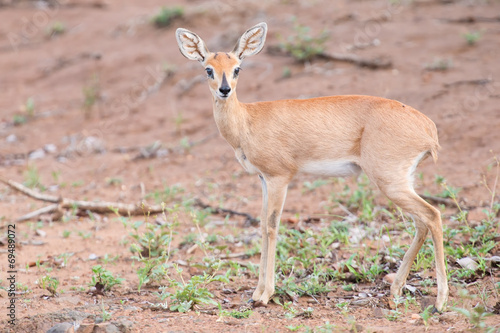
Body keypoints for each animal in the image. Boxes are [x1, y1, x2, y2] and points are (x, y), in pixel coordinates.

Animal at [176, 23, 450, 312]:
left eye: (237, 68)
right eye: (208, 68)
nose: (225, 89)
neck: (248, 121)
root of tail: (428, 127)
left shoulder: (279, 177)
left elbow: (271, 226)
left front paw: (264, 294)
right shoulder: (263, 179)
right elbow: (262, 224)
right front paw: (256, 292)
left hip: (391, 182)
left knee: (433, 215)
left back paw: (440, 301)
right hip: (402, 182)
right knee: (422, 223)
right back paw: (396, 290)